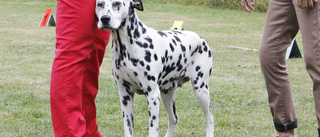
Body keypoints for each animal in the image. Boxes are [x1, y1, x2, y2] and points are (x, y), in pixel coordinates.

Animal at [96, 0, 214, 136]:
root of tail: (201, 38)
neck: (128, 47)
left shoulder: (152, 95)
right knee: (174, 119)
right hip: (166, 95)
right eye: (100, 4)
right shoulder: (125, 95)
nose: (105, 19)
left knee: (209, 118)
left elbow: (153, 130)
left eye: (117, 3)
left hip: (201, 90)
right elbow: (128, 129)